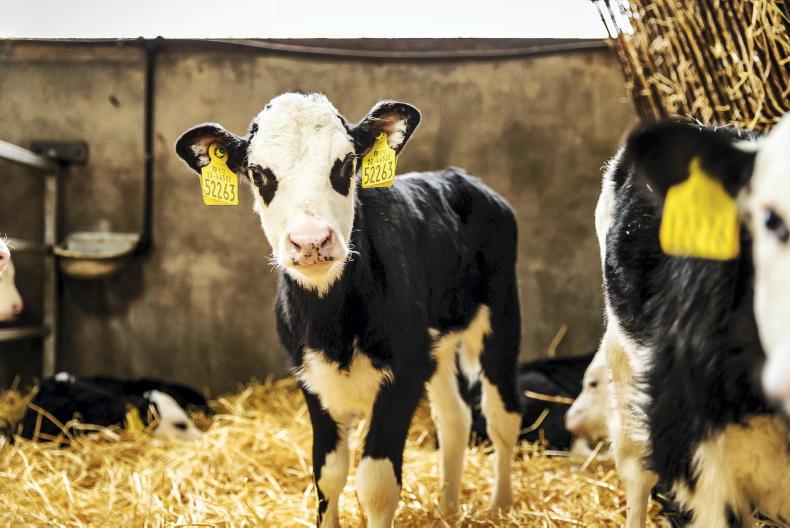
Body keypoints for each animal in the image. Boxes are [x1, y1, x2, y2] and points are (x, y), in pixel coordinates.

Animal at [175, 93, 522, 527]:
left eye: (346, 164)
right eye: (258, 173)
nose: (310, 241)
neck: (332, 325)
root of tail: (460, 177)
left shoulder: (403, 375)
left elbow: (376, 484)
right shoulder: (313, 379)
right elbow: (328, 474)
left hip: (501, 316)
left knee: (501, 417)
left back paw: (501, 506)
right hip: (437, 347)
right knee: (454, 418)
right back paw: (448, 508)